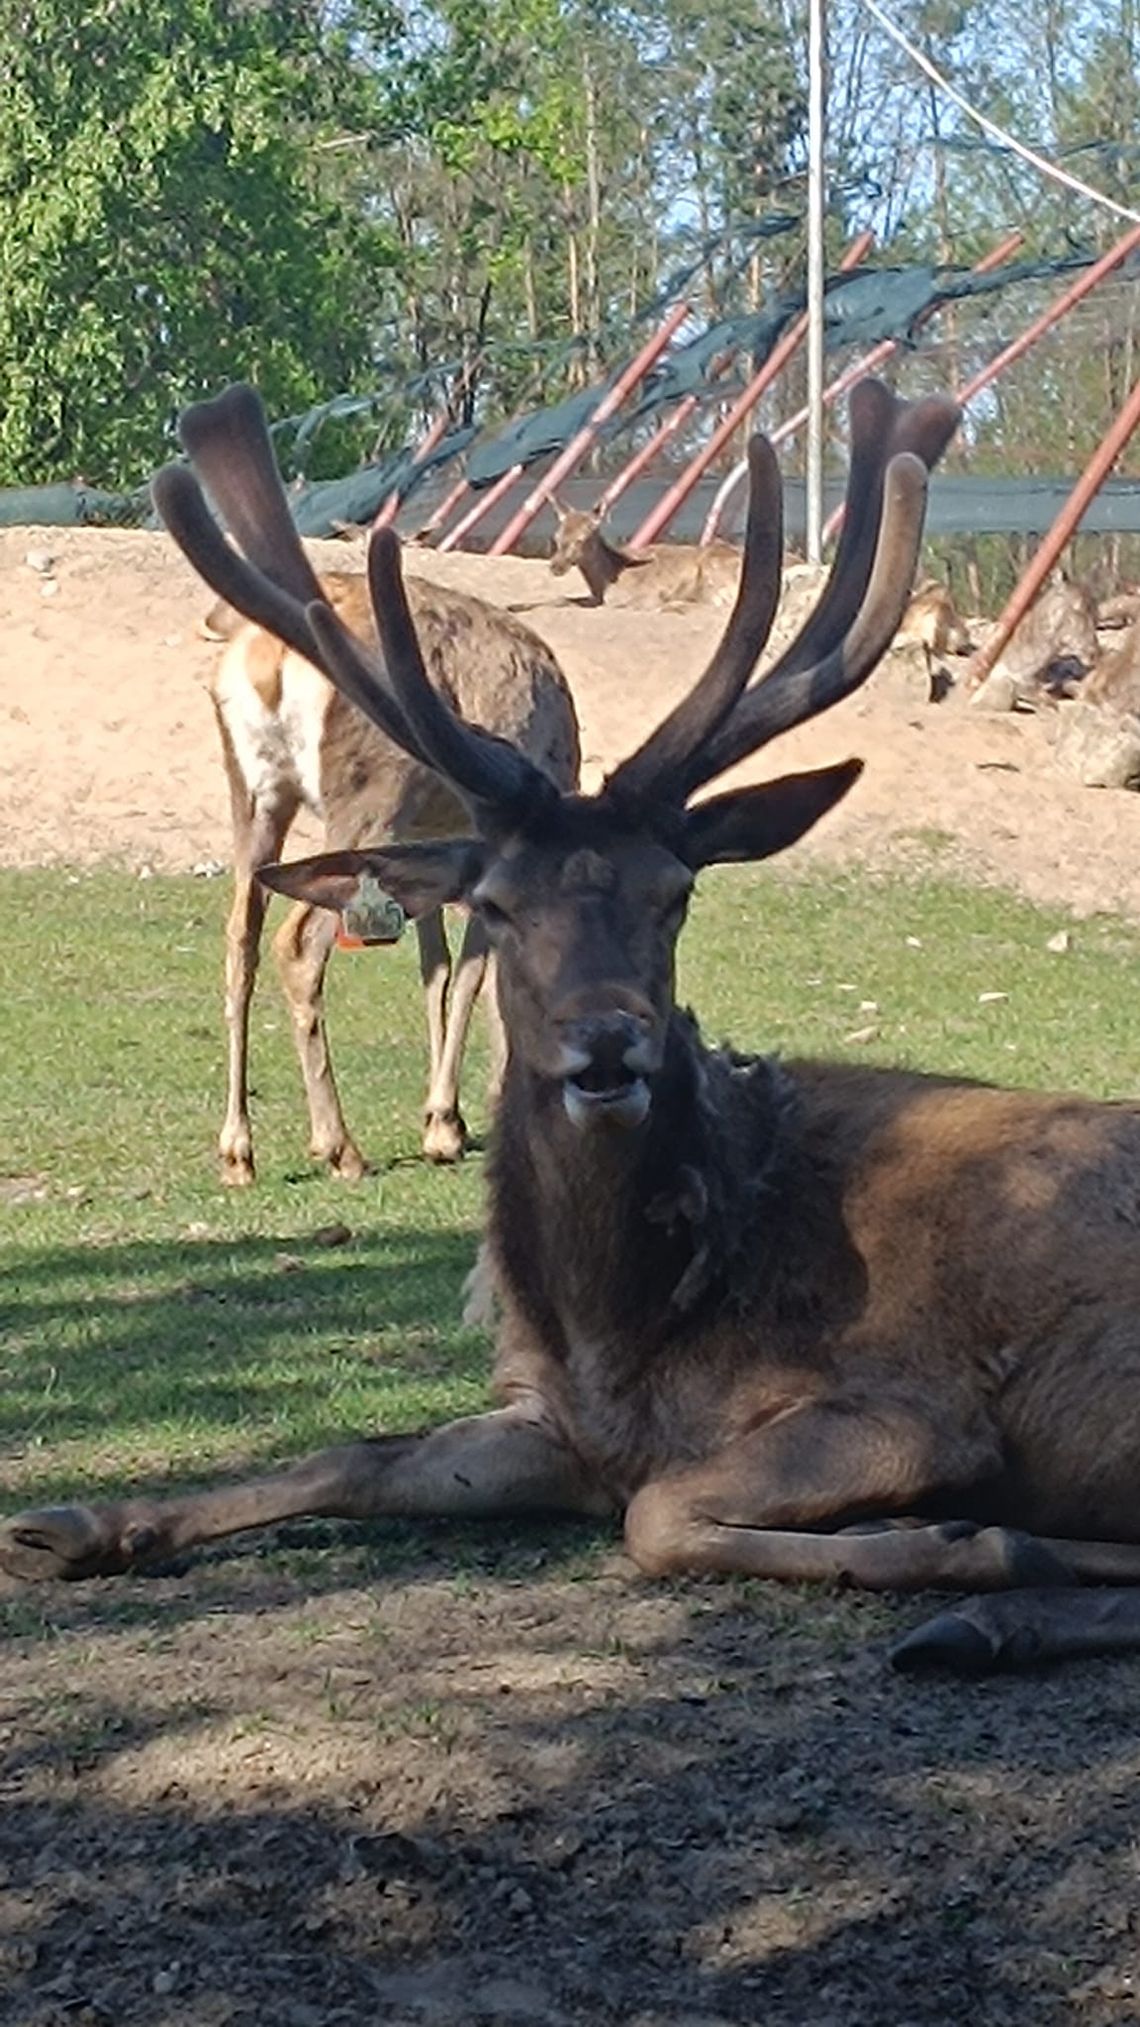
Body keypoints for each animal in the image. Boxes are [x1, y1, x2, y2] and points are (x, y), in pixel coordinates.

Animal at [199, 563, 576, 1183]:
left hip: (252, 794)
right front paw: (446, 1124)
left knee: (240, 937)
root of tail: (266, 660)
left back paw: (237, 1150)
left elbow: (438, 968)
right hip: (367, 798)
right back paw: (338, 1146)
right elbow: (474, 971)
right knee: (298, 941)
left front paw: (452, 1117)